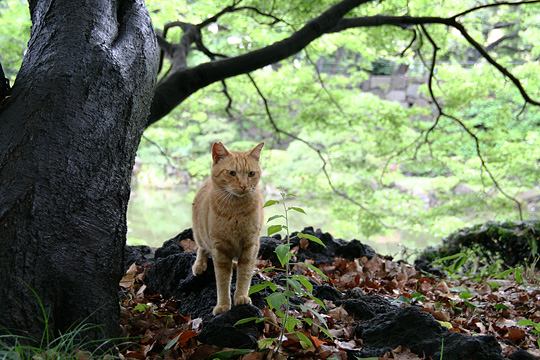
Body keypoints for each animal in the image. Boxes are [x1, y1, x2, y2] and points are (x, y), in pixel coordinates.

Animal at [191, 141, 264, 316]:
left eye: (251, 173)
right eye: (232, 173)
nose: (244, 186)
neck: (235, 209)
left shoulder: (251, 245)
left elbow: (245, 274)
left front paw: (241, 296)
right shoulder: (220, 249)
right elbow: (222, 281)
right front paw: (223, 305)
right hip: (199, 234)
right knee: (201, 248)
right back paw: (199, 265)